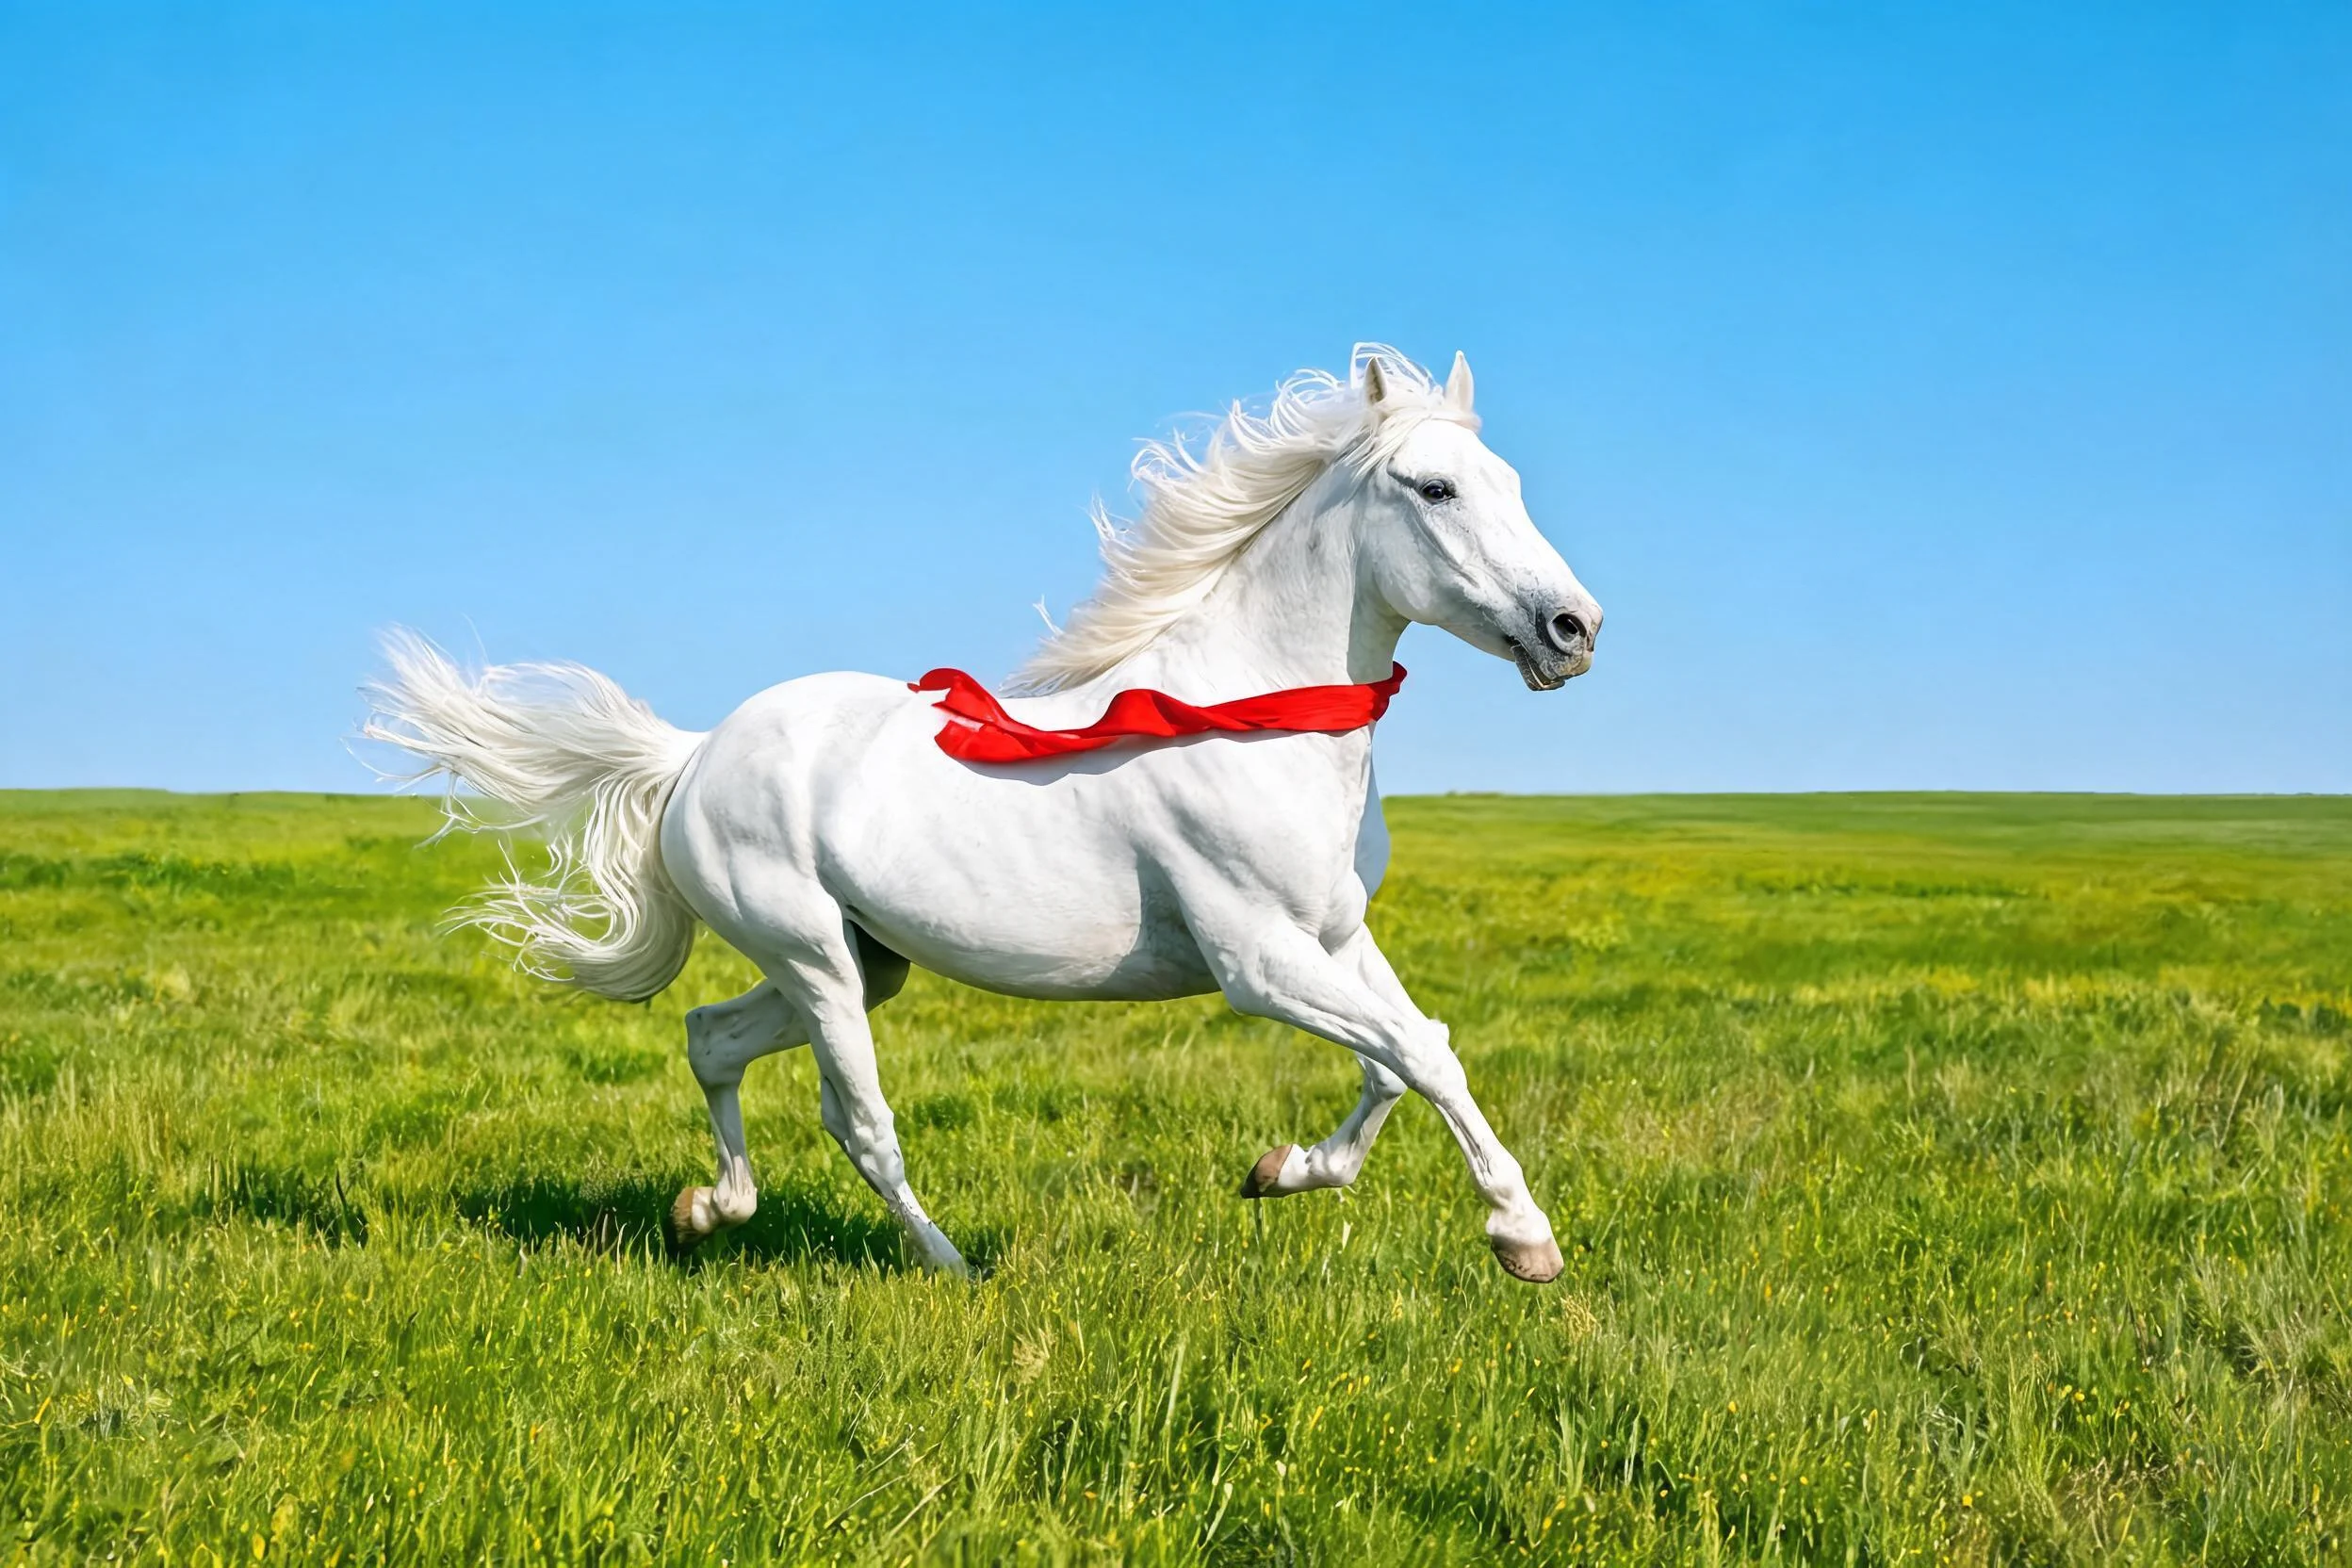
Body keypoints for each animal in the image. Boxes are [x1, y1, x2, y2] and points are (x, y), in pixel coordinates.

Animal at [365, 345, 1603, 1282]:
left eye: (1510, 481)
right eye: (1434, 489)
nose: (1573, 627)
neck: (1253, 709)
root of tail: (693, 754)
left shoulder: (1337, 935)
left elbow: (1410, 1052)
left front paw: (1285, 1169)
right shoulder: (1257, 957)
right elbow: (1421, 1051)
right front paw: (1524, 1239)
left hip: (866, 960)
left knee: (710, 1036)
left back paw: (707, 1210)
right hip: (812, 954)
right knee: (859, 1121)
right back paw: (950, 1264)